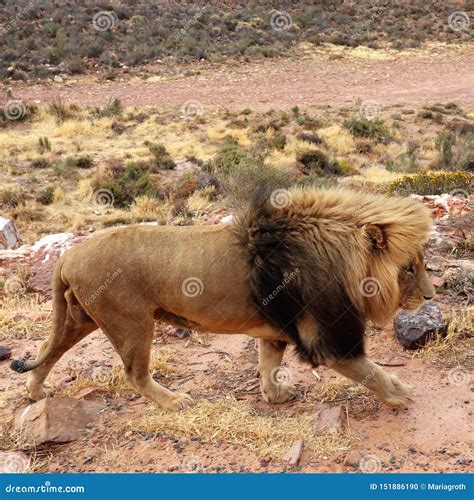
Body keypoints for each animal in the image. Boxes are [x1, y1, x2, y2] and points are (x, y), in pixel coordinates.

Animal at [11, 187, 436, 410]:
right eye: (409, 268)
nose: (431, 295)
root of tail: (68, 256)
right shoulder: (326, 340)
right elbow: (370, 370)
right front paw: (400, 394)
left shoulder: (277, 331)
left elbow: (268, 364)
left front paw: (275, 395)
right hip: (130, 322)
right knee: (133, 373)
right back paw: (173, 401)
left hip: (79, 318)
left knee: (48, 350)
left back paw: (36, 392)